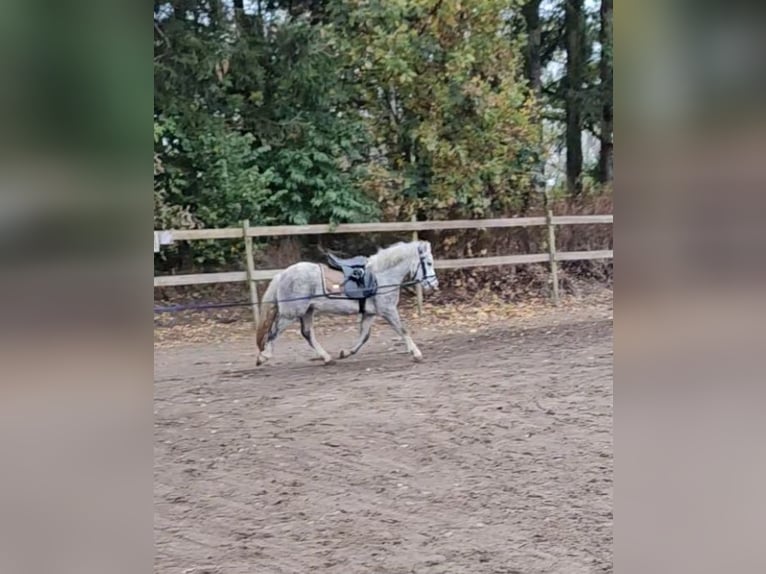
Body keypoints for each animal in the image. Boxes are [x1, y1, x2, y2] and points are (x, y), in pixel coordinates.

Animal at [256, 241, 440, 366]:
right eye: (429, 263)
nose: (434, 285)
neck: (381, 276)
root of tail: (282, 274)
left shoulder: (369, 313)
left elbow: (364, 336)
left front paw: (345, 352)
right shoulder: (388, 310)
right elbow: (403, 330)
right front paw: (417, 354)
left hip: (307, 311)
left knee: (307, 333)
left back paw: (327, 358)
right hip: (291, 313)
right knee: (273, 332)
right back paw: (263, 357)